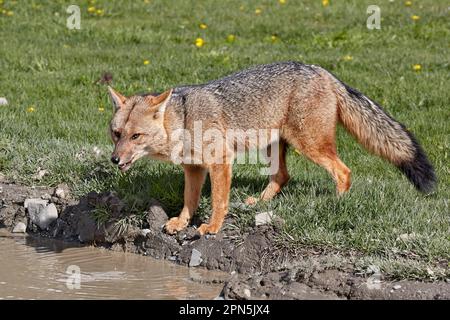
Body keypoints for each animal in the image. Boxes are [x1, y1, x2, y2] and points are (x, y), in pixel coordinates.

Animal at [108, 60, 436, 235]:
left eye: (136, 137)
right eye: (116, 134)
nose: (114, 160)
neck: (185, 120)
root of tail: (321, 70)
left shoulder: (220, 162)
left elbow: (218, 201)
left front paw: (212, 227)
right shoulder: (194, 168)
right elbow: (189, 200)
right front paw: (180, 222)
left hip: (310, 146)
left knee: (343, 172)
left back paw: (337, 203)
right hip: (272, 147)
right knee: (282, 177)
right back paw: (260, 203)